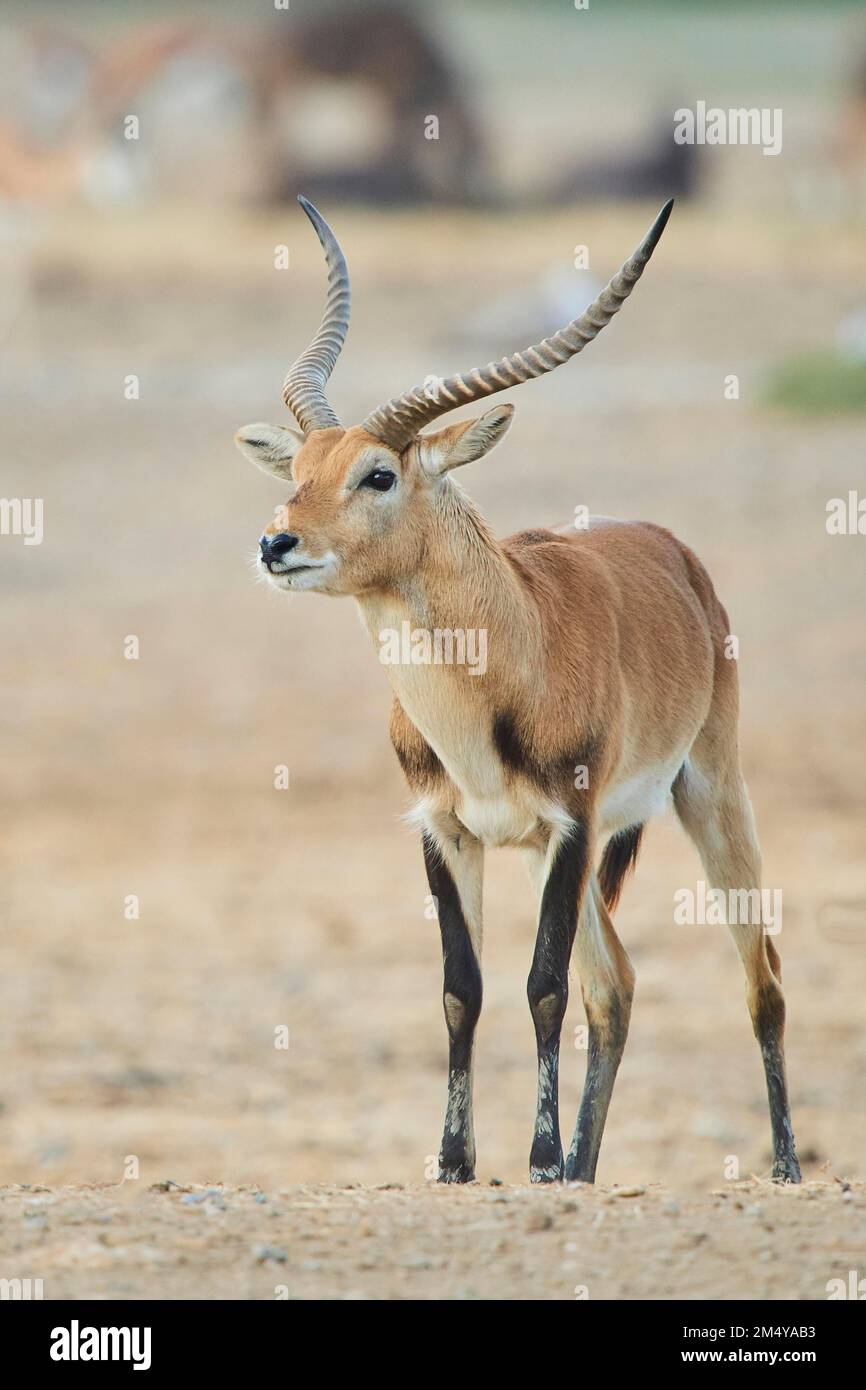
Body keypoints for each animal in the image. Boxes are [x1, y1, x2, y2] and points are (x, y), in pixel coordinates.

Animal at [234, 201, 800, 1189]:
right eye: (299, 470)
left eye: (378, 473)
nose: (277, 544)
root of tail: (673, 552)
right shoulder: (447, 829)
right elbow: (463, 989)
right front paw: (457, 1162)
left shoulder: (569, 827)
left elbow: (541, 987)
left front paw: (533, 1160)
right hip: (565, 851)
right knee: (617, 983)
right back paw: (584, 1168)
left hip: (708, 796)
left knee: (758, 971)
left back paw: (783, 1169)